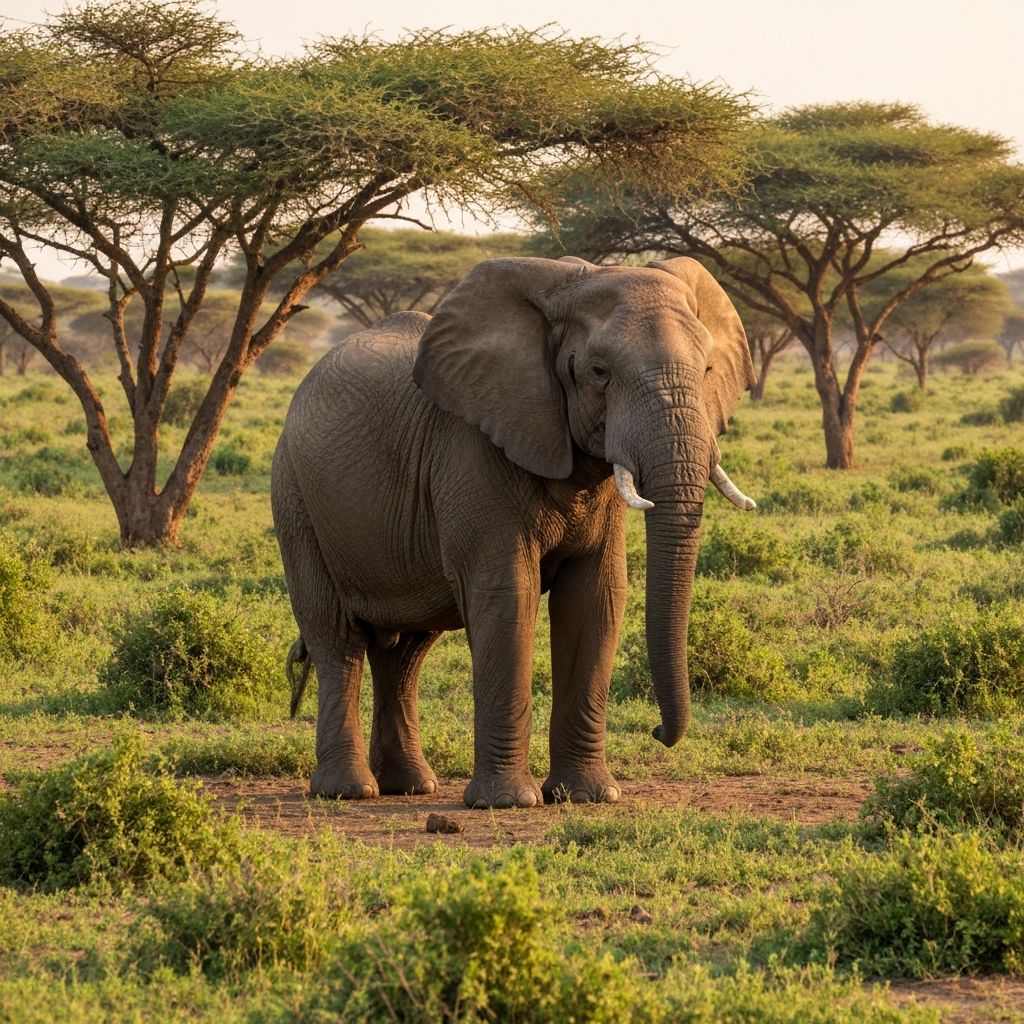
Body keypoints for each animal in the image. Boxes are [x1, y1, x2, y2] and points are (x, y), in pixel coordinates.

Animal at [271, 255, 756, 809]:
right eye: (598, 372)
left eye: (707, 370)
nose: (658, 732)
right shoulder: (471, 449)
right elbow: (508, 596)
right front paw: (507, 802)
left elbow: (594, 598)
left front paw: (588, 796)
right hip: (295, 495)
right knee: (336, 638)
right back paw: (348, 792)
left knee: (407, 650)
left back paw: (409, 785)